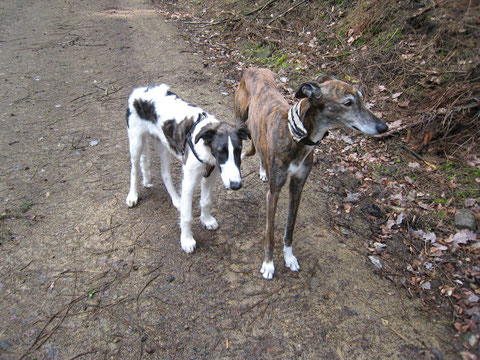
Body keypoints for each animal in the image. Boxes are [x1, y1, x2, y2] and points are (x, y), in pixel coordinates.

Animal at [125, 84, 249, 253]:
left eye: (238, 151)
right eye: (220, 152)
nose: (236, 186)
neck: (205, 147)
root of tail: (138, 90)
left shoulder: (210, 174)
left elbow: (206, 201)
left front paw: (206, 219)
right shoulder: (190, 180)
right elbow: (187, 216)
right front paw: (187, 240)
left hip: (164, 145)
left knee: (165, 174)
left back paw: (177, 200)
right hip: (136, 142)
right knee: (134, 170)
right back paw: (132, 195)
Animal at [234, 69, 388, 280]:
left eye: (362, 98)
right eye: (348, 103)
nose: (383, 127)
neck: (296, 135)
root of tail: (253, 69)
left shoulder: (297, 187)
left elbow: (290, 228)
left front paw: (289, 257)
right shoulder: (274, 192)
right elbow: (270, 233)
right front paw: (268, 264)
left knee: (260, 150)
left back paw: (263, 170)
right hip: (240, 115)